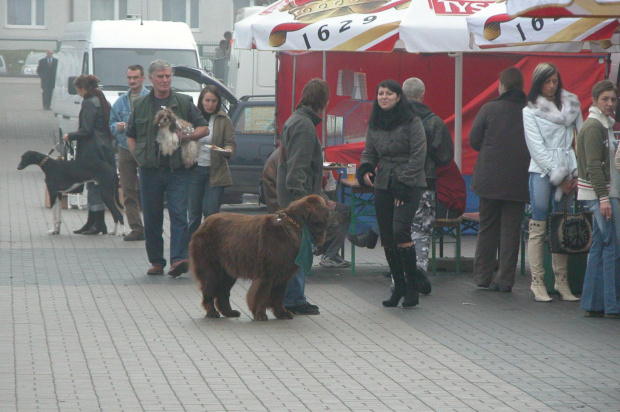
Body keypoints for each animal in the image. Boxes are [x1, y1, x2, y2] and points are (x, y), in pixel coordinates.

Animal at [191, 194, 332, 322]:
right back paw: (212, 312)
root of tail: (204, 223)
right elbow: (261, 294)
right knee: (208, 291)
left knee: (222, 293)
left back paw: (229, 312)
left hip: (228, 272)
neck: (294, 226)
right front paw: (260, 314)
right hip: (212, 269)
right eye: (325, 202)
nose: (333, 203)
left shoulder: (283, 274)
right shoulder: (267, 274)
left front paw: (282, 313)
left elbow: (279, 297)